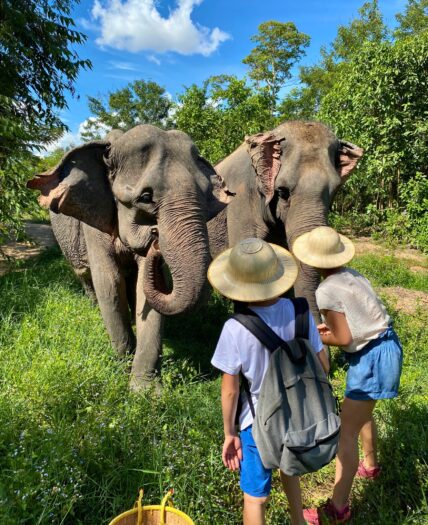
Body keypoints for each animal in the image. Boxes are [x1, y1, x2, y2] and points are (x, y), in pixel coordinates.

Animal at [28, 125, 226, 386]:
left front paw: (144, 388)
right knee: (85, 276)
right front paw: (122, 365)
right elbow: (109, 283)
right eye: (145, 198)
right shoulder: (94, 222)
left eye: (206, 195)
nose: (155, 235)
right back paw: (94, 308)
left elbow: (145, 286)